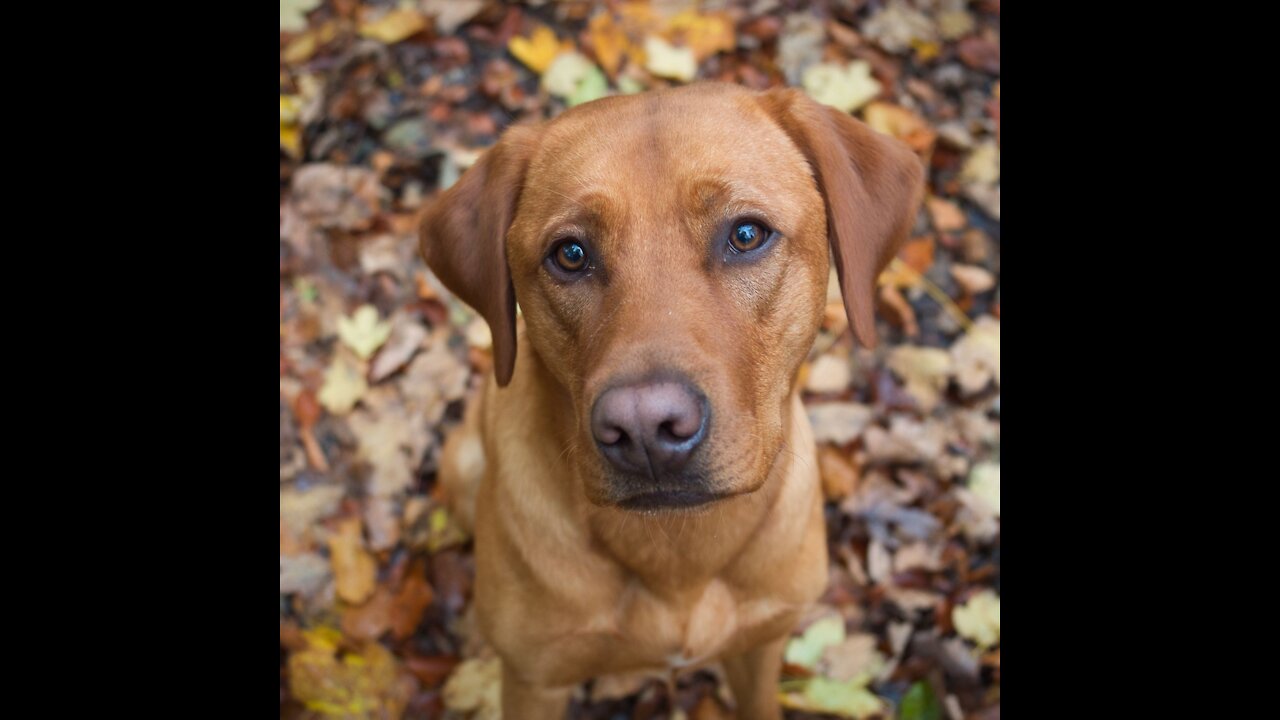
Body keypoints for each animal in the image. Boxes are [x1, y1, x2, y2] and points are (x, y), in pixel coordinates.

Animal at [419, 81, 921, 712]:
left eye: (747, 234)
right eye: (570, 254)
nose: (643, 430)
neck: (680, 554)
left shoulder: (761, 644)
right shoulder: (536, 681)